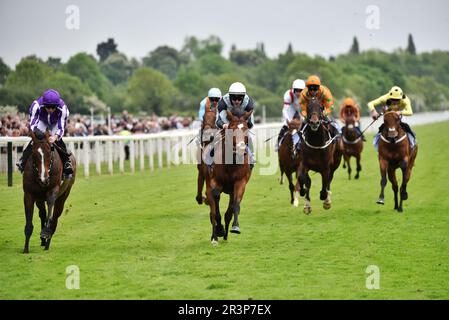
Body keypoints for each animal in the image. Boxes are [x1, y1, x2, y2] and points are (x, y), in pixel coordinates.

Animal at [206, 110, 252, 245]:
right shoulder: (215, 181)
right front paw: (218, 231)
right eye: (232, 129)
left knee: (228, 212)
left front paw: (235, 227)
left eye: (246, 129)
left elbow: (235, 205)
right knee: (212, 210)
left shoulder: (240, 182)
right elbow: (215, 203)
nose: (241, 148)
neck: (231, 163)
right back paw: (215, 236)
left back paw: (225, 235)